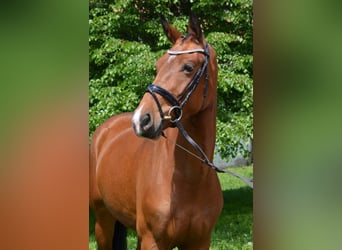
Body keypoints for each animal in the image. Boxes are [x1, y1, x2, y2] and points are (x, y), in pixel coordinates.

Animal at [89, 12, 223, 249]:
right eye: (158, 66)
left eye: (188, 67)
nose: (141, 119)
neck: (190, 180)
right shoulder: (153, 240)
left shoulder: (199, 242)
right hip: (103, 222)